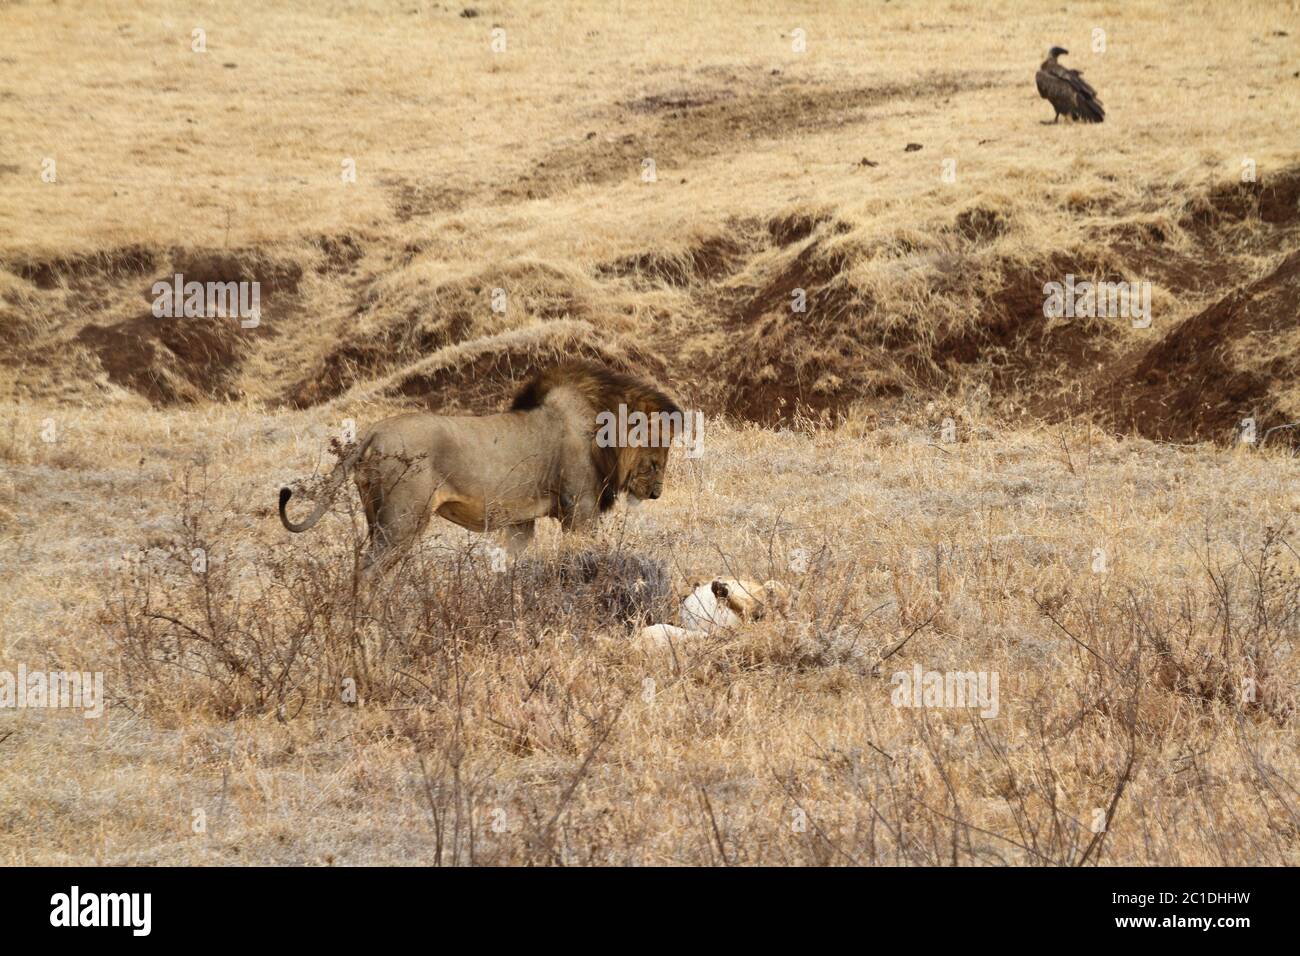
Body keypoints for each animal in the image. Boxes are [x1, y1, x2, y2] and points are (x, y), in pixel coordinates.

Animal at [274, 361, 681, 574]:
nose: (657, 492)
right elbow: (586, 554)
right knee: (368, 571)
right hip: (401, 521)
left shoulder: (521, 521)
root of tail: (372, 431)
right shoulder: (579, 510)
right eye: (658, 449)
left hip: (376, 517)